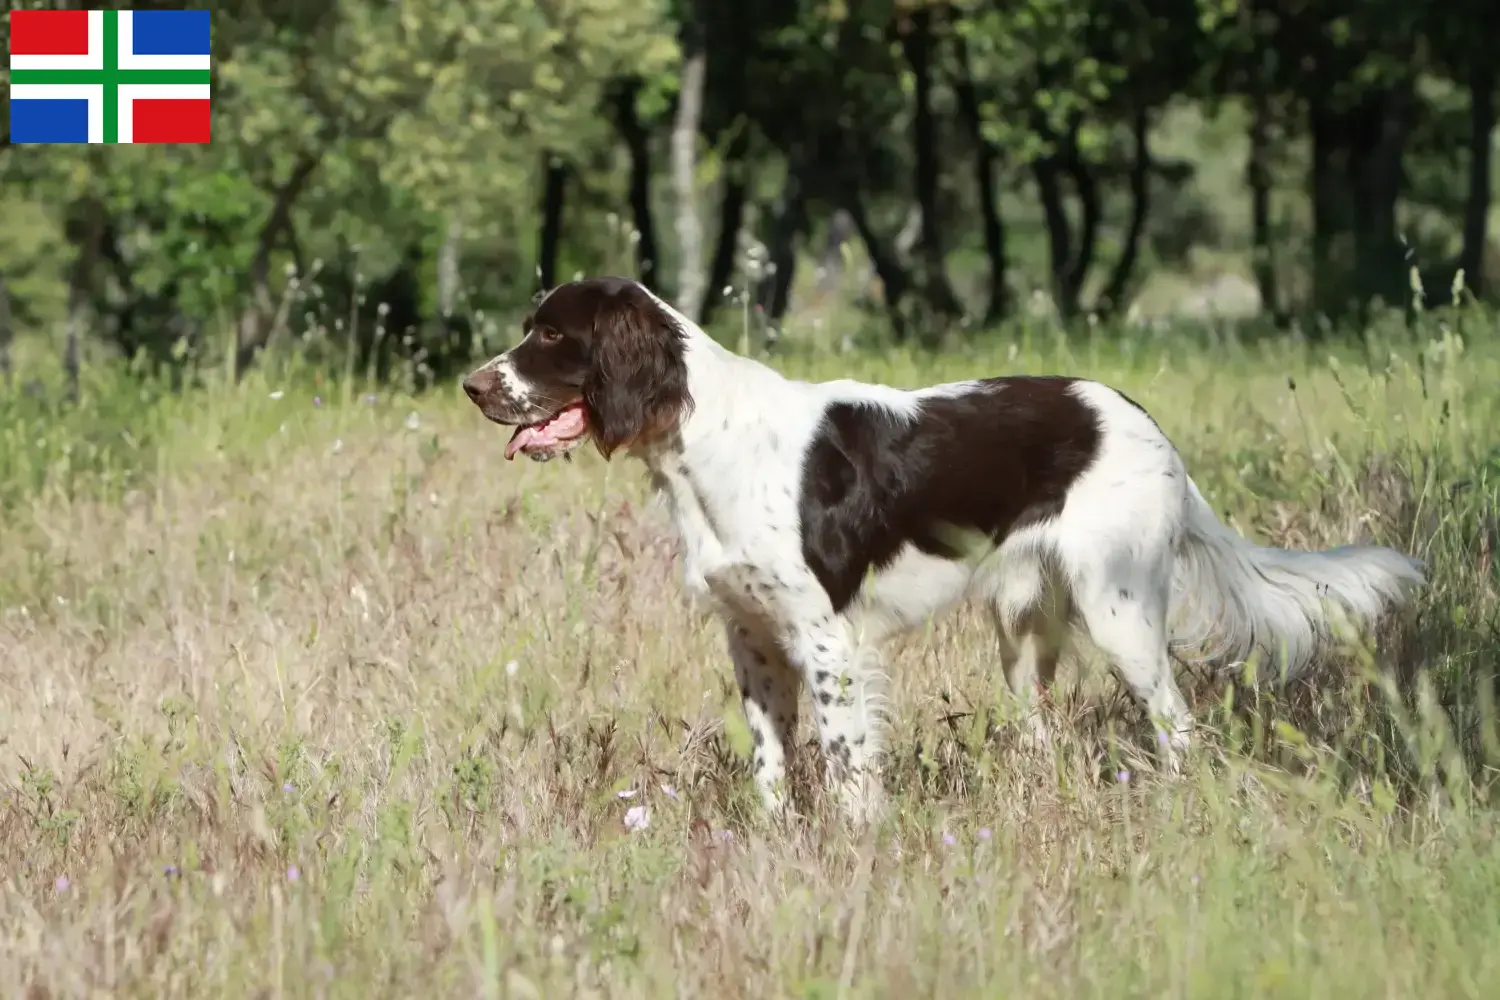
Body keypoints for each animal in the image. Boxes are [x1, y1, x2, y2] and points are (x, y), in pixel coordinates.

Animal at [462, 275, 1422, 821]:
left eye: (553, 334)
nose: (473, 386)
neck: (706, 440)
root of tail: (1145, 422)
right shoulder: (753, 641)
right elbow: (772, 766)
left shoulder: (827, 641)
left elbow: (848, 767)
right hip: (1025, 629)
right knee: (1041, 729)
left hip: (1121, 610)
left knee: (1177, 725)